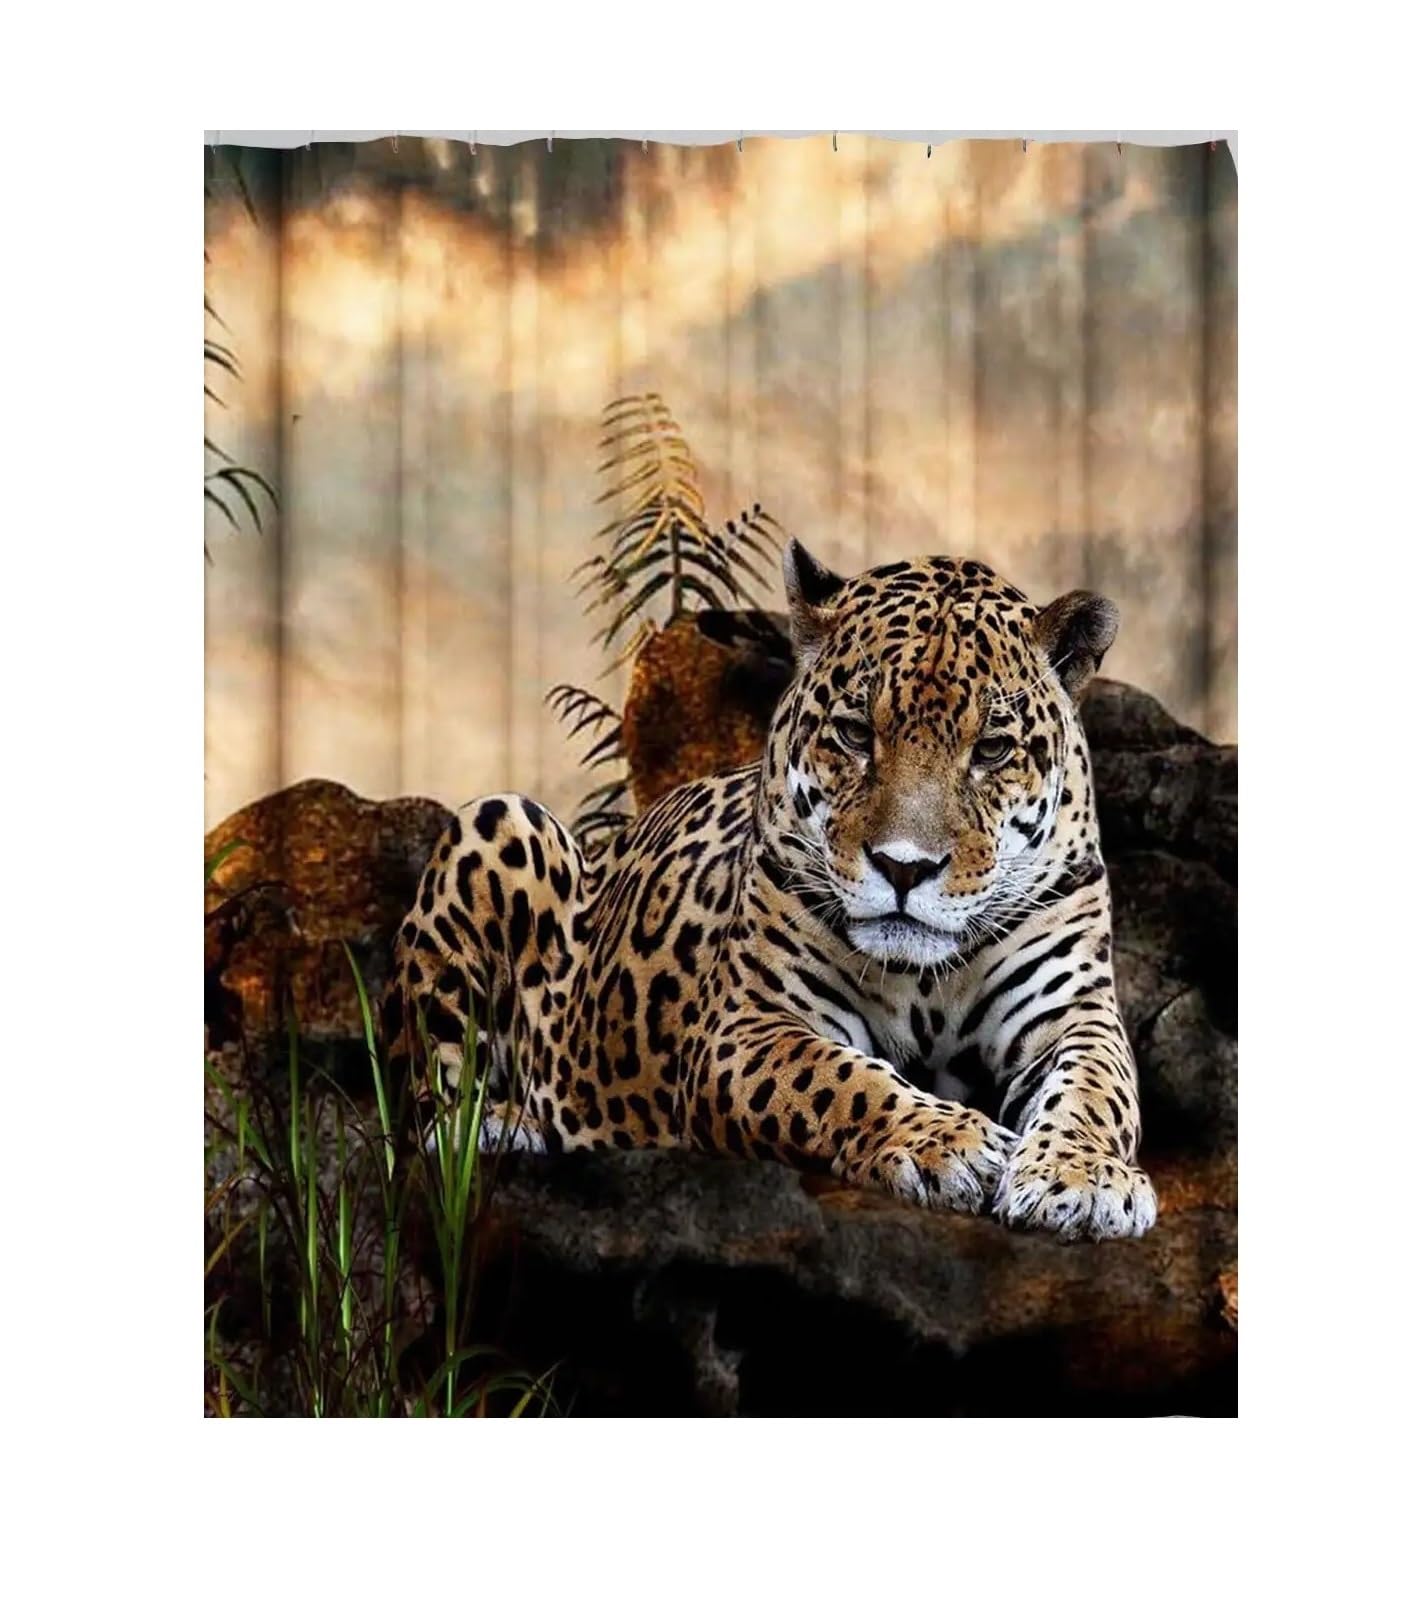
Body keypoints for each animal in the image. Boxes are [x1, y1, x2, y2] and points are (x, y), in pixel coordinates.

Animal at [380, 540, 1157, 1241]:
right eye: (855, 734)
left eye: (992, 750)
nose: (904, 868)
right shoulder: (749, 1028)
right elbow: (841, 1081)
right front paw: (950, 1143)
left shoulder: (1073, 1014)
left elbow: (1097, 1092)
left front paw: (1083, 1180)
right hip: (499, 821)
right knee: (426, 1099)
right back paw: (502, 1126)